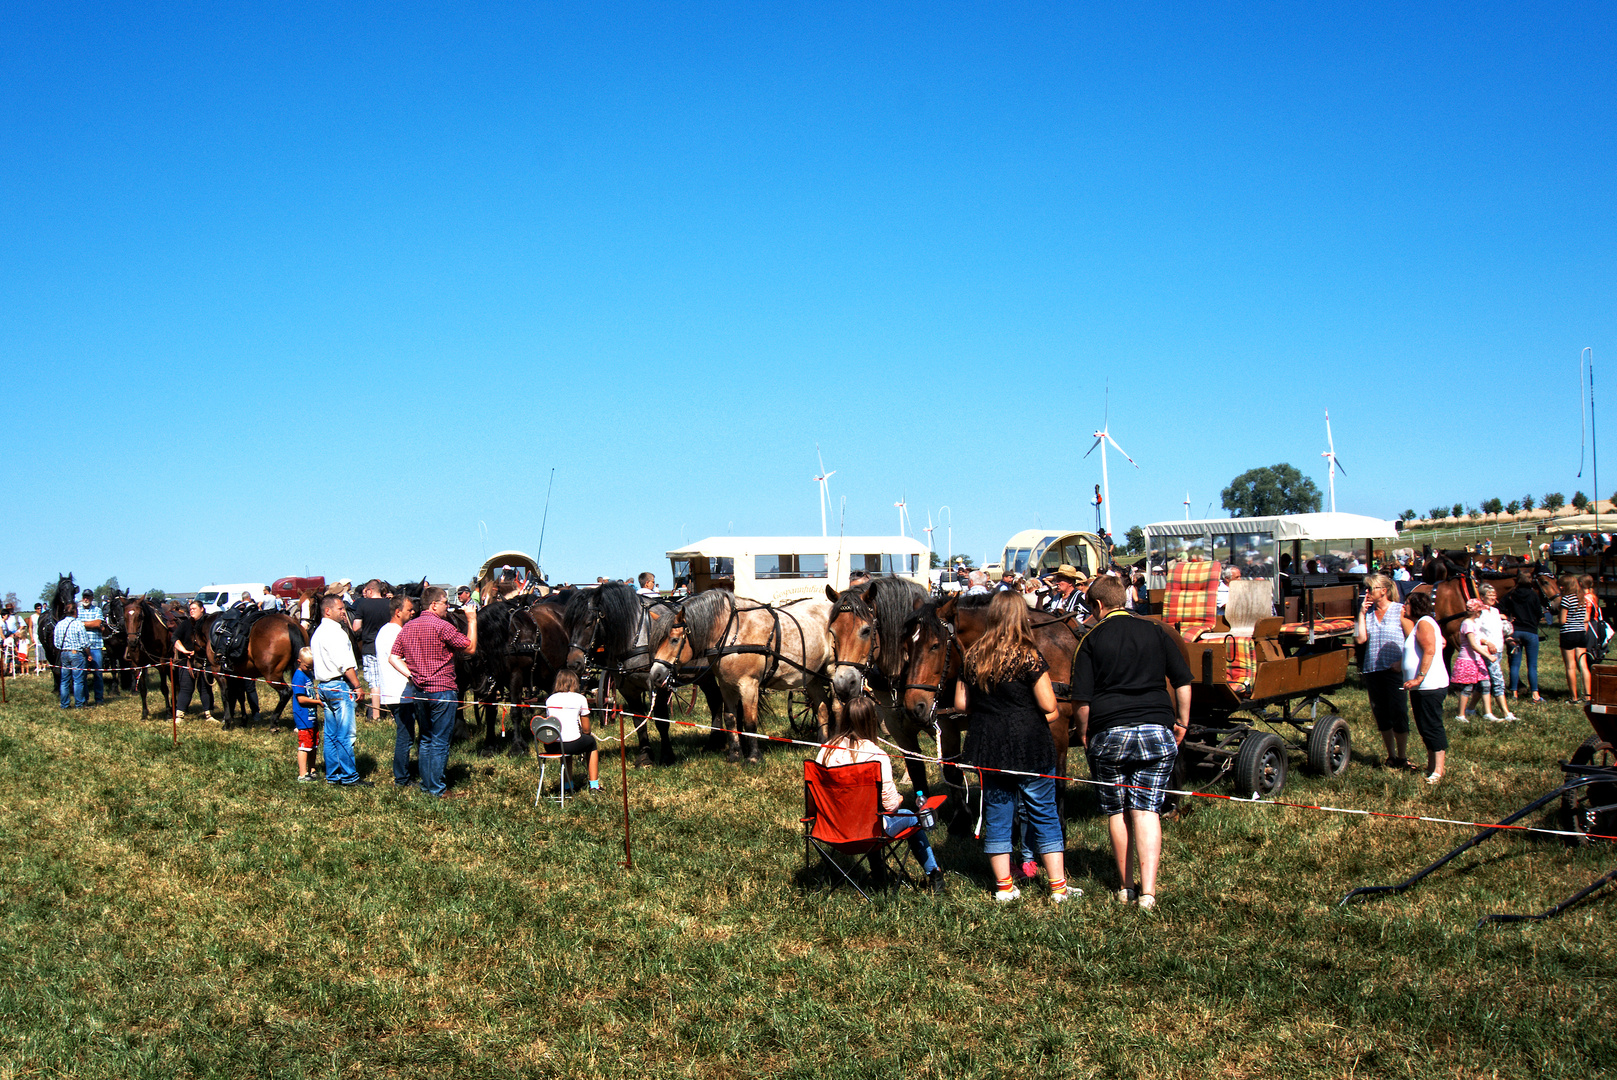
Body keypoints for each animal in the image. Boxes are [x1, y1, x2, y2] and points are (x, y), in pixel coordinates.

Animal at [643, 591, 834, 766]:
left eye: (674, 640)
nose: (655, 674)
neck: (733, 633)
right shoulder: (726, 685)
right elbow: (730, 718)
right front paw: (735, 755)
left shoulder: (749, 685)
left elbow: (749, 721)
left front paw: (753, 757)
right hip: (812, 677)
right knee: (822, 706)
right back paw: (823, 744)